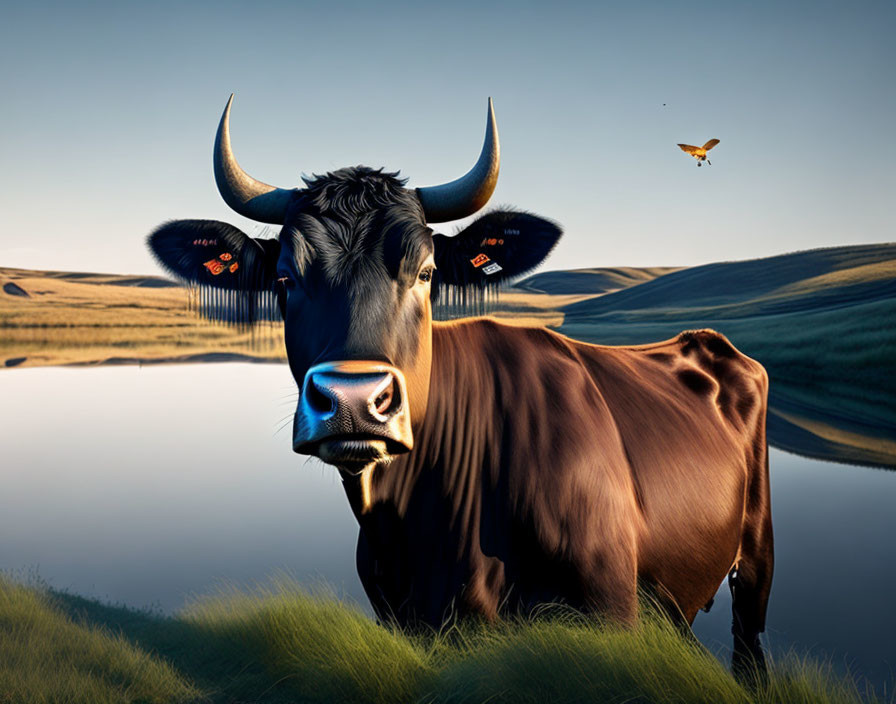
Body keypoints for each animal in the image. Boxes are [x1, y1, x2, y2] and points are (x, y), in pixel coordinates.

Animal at [147, 93, 768, 676]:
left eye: (425, 273)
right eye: (285, 278)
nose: (353, 402)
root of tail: (704, 341)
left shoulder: (611, 610)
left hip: (755, 557)